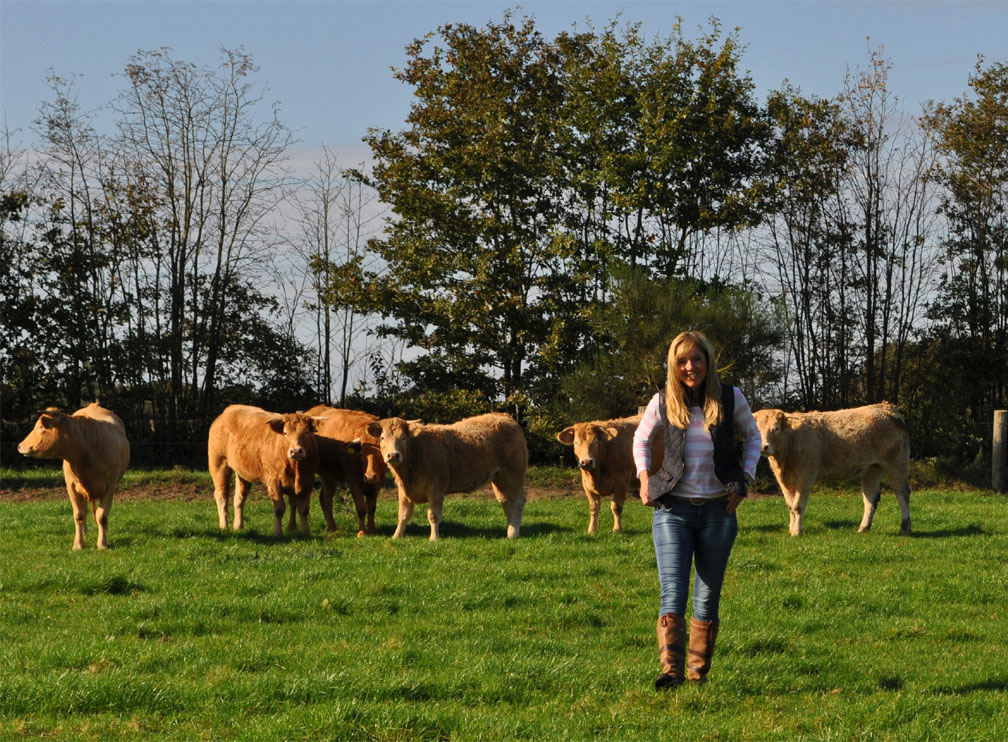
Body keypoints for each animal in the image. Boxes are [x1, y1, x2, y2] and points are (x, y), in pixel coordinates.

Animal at [16, 403, 130, 548]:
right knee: (85, 510)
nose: (20, 446)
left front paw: (102, 543)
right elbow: (79, 515)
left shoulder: (110, 486)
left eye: (40, 427)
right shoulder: (71, 486)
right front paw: (78, 544)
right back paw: (85, 532)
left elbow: (102, 516)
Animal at [208, 403, 322, 536]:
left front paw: (305, 532)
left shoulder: (308, 482)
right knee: (221, 496)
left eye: (307, 432)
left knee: (239, 499)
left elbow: (303, 509)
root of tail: (229, 409)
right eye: (285, 433)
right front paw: (278, 532)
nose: (296, 451)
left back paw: (238, 526)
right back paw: (224, 526)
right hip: (219, 464)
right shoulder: (274, 481)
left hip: (243, 473)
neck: (295, 467)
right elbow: (279, 509)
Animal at [368, 411, 528, 540]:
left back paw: (513, 532)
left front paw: (434, 538)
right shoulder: (403, 490)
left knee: (518, 501)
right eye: (382, 438)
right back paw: (512, 528)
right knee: (506, 500)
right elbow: (403, 515)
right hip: (499, 477)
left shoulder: (436, 488)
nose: (393, 455)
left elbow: (433, 515)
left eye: (403, 438)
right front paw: (396, 536)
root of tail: (505, 416)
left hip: (514, 474)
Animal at [753, 403, 911, 536]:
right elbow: (790, 506)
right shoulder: (784, 481)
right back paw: (863, 528)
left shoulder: (805, 477)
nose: (763, 447)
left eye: (776, 428)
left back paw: (905, 528)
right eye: (757, 429)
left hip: (897, 464)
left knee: (902, 494)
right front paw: (792, 529)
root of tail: (886, 408)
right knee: (870, 498)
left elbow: (797, 506)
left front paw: (797, 532)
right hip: (872, 469)